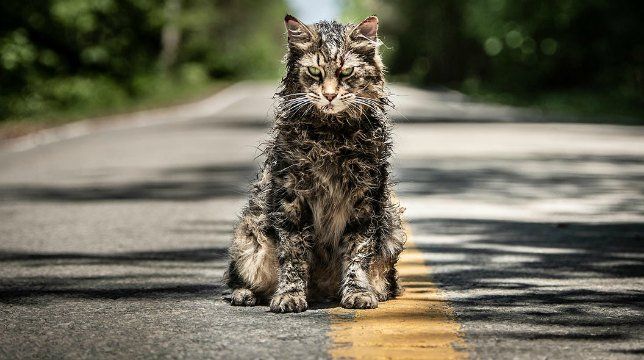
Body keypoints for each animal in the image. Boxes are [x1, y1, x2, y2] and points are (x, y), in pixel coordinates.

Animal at [224, 14, 406, 312]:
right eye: (314, 72)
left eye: (346, 72)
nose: (330, 95)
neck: (331, 136)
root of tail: (321, 292)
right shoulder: (292, 198)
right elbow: (294, 254)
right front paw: (290, 295)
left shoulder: (365, 198)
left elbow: (358, 252)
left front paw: (358, 292)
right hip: (249, 235)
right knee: (240, 277)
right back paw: (245, 294)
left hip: (393, 227)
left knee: (386, 280)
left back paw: (374, 291)